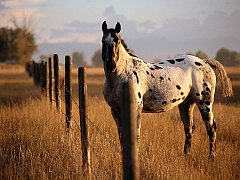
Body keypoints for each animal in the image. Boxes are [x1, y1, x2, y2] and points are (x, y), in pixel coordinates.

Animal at [101, 20, 232, 160]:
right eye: (103, 41)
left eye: (118, 41)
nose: (111, 65)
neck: (124, 74)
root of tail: (205, 62)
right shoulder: (115, 111)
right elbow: (122, 136)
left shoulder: (136, 109)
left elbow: (135, 135)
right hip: (186, 104)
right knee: (189, 129)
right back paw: (186, 156)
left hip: (204, 103)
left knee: (211, 128)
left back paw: (211, 158)